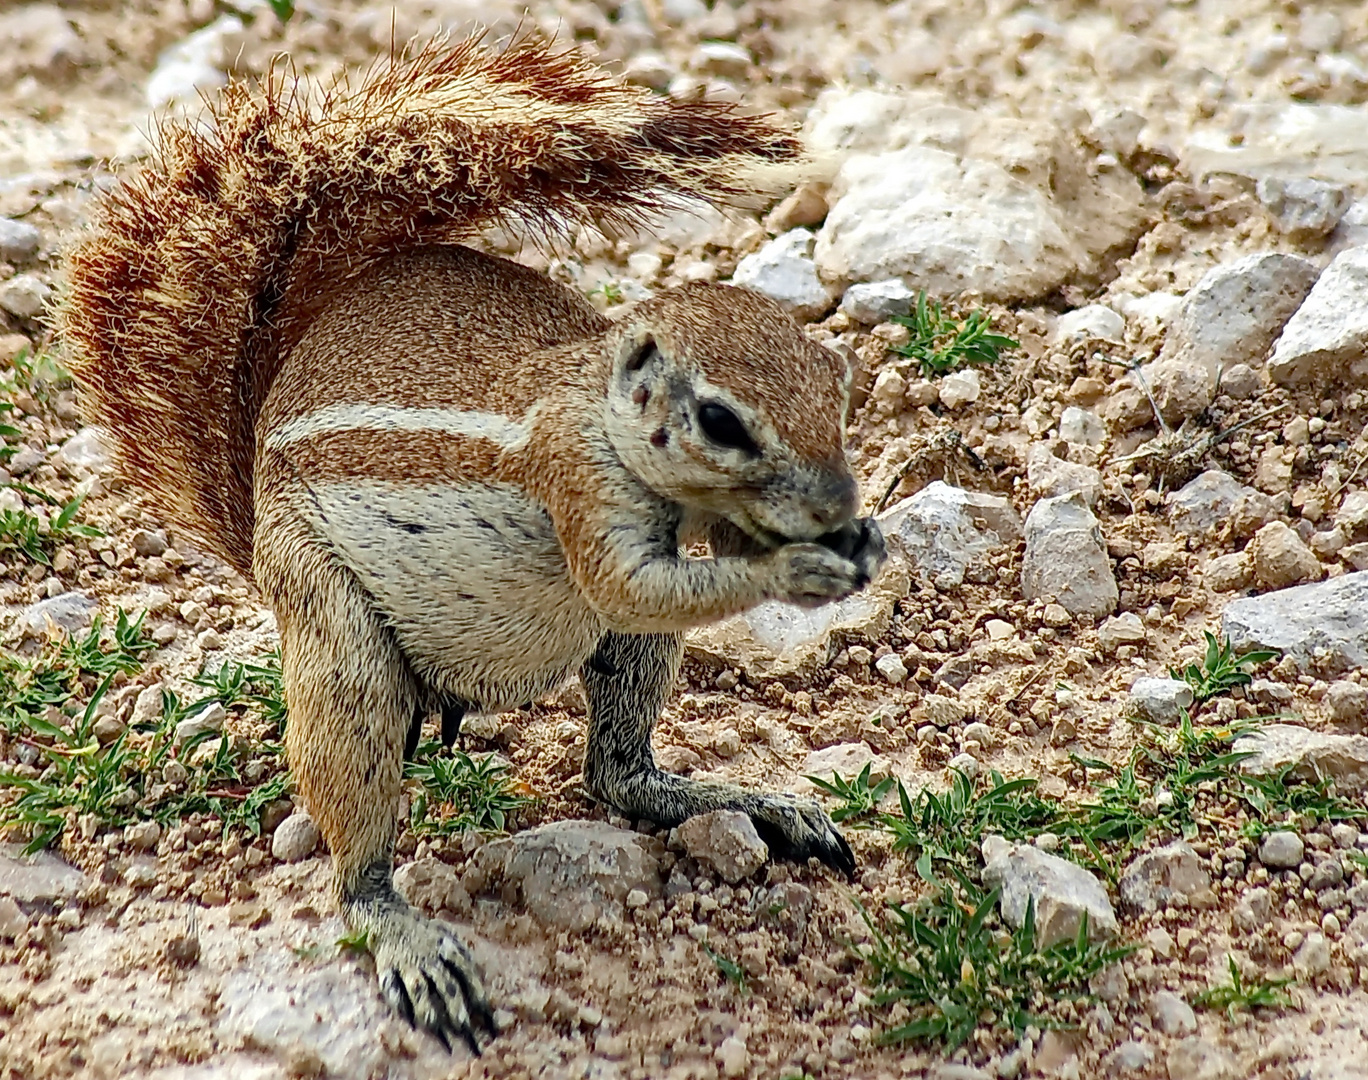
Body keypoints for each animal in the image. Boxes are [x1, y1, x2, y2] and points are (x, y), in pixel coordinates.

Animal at [61, 35, 886, 1051]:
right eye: (722, 421)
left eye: (837, 385)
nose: (837, 506)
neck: (599, 405)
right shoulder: (578, 484)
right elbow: (627, 581)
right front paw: (795, 564)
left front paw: (856, 540)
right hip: (331, 630)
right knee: (359, 853)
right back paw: (406, 939)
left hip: (630, 663)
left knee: (616, 775)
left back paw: (739, 803)